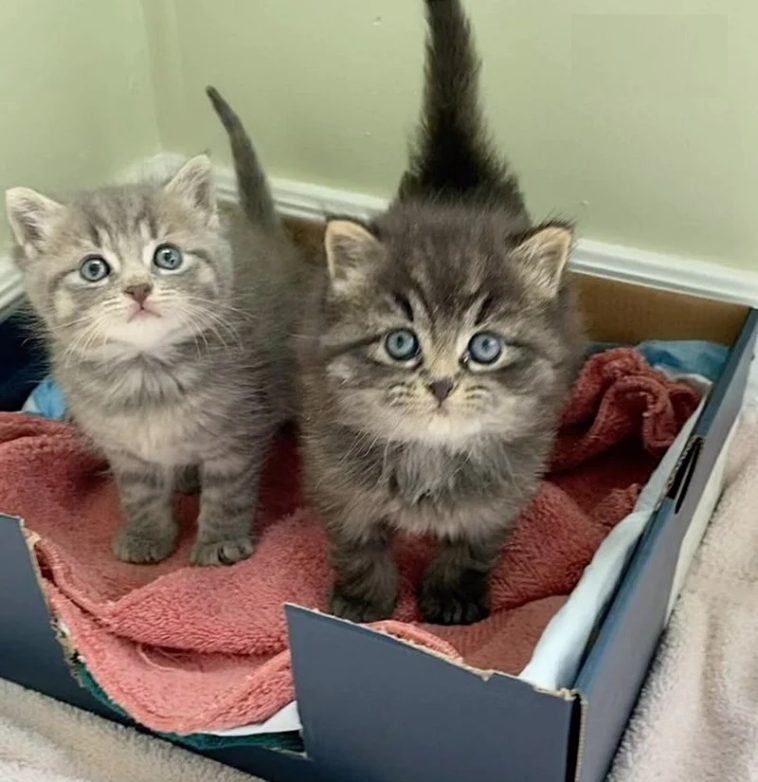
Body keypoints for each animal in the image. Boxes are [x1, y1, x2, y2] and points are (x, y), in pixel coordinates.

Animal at [6, 89, 302, 568]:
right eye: (94, 269)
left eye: (167, 257)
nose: (139, 289)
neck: (146, 376)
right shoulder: (126, 453)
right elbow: (139, 497)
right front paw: (147, 536)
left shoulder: (237, 435)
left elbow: (229, 494)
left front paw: (219, 542)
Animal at [300, 0, 584, 624]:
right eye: (401, 343)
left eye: (485, 347)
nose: (441, 384)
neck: (429, 454)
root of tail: (457, 175)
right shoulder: (336, 475)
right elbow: (358, 545)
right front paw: (363, 601)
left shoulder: (503, 489)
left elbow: (471, 545)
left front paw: (453, 597)